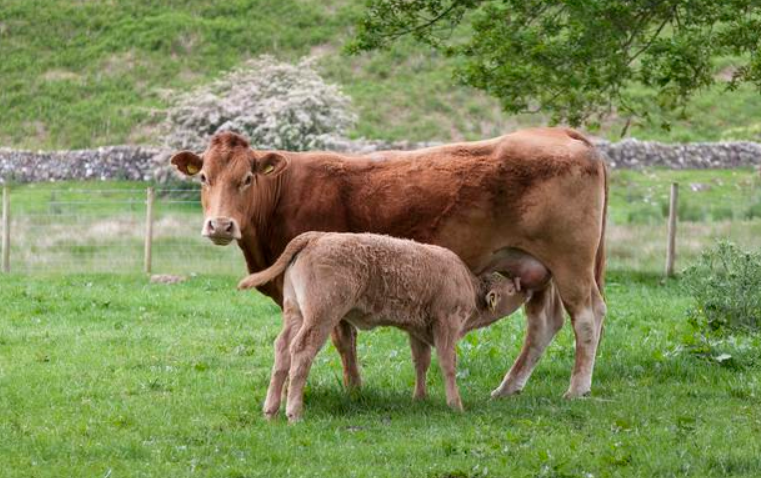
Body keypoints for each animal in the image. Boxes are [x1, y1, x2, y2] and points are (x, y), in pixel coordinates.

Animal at [171, 128, 604, 400]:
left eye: (247, 178)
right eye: (204, 177)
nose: (220, 225)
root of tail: (558, 132)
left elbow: (342, 339)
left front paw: (353, 389)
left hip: (571, 263)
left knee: (587, 316)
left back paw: (576, 389)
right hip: (535, 269)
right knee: (544, 323)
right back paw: (508, 387)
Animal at [238, 232, 528, 422]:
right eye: (512, 289)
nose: (526, 288)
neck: (467, 281)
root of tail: (315, 237)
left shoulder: (417, 330)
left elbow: (421, 362)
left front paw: (420, 398)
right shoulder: (447, 325)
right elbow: (448, 363)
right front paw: (456, 405)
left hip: (295, 313)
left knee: (282, 349)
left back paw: (270, 410)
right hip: (321, 317)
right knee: (301, 351)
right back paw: (294, 412)